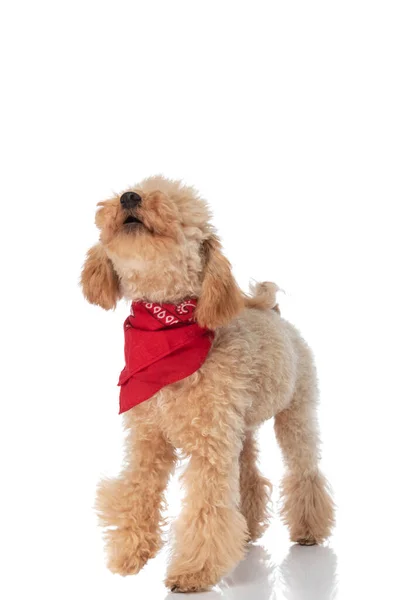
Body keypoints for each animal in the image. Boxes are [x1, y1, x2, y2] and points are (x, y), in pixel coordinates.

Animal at [81, 176, 334, 592]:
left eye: (174, 207)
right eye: (135, 189)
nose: (130, 197)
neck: (167, 327)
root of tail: (273, 313)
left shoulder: (208, 444)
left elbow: (207, 507)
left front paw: (193, 572)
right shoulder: (148, 438)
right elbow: (137, 489)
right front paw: (129, 554)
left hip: (295, 413)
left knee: (304, 470)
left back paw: (309, 529)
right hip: (241, 427)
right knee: (248, 474)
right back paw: (247, 529)